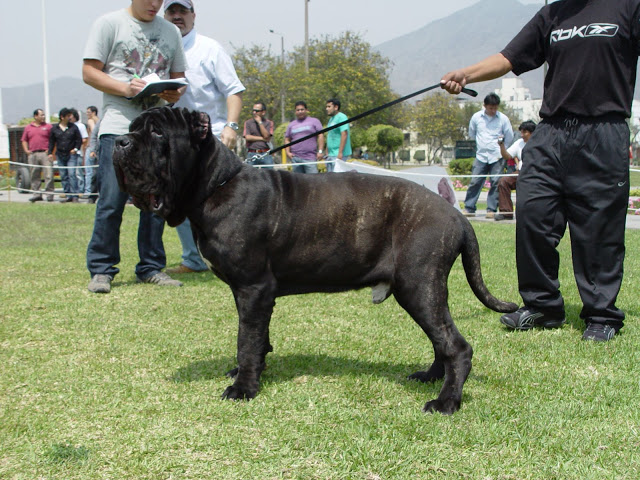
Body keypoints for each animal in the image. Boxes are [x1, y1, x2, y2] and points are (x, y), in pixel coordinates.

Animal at [112, 107, 516, 414]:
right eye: (134, 128)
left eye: (157, 132)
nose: (120, 141)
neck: (216, 185)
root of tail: (457, 214)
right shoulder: (252, 294)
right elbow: (258, 339)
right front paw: (251, 371)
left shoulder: (253, 289)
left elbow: (246, 339)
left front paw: (244, 387)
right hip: (421, 292)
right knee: (441, 340)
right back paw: (431, 377)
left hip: (419, 286)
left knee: (456, 346)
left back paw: (446, 401)